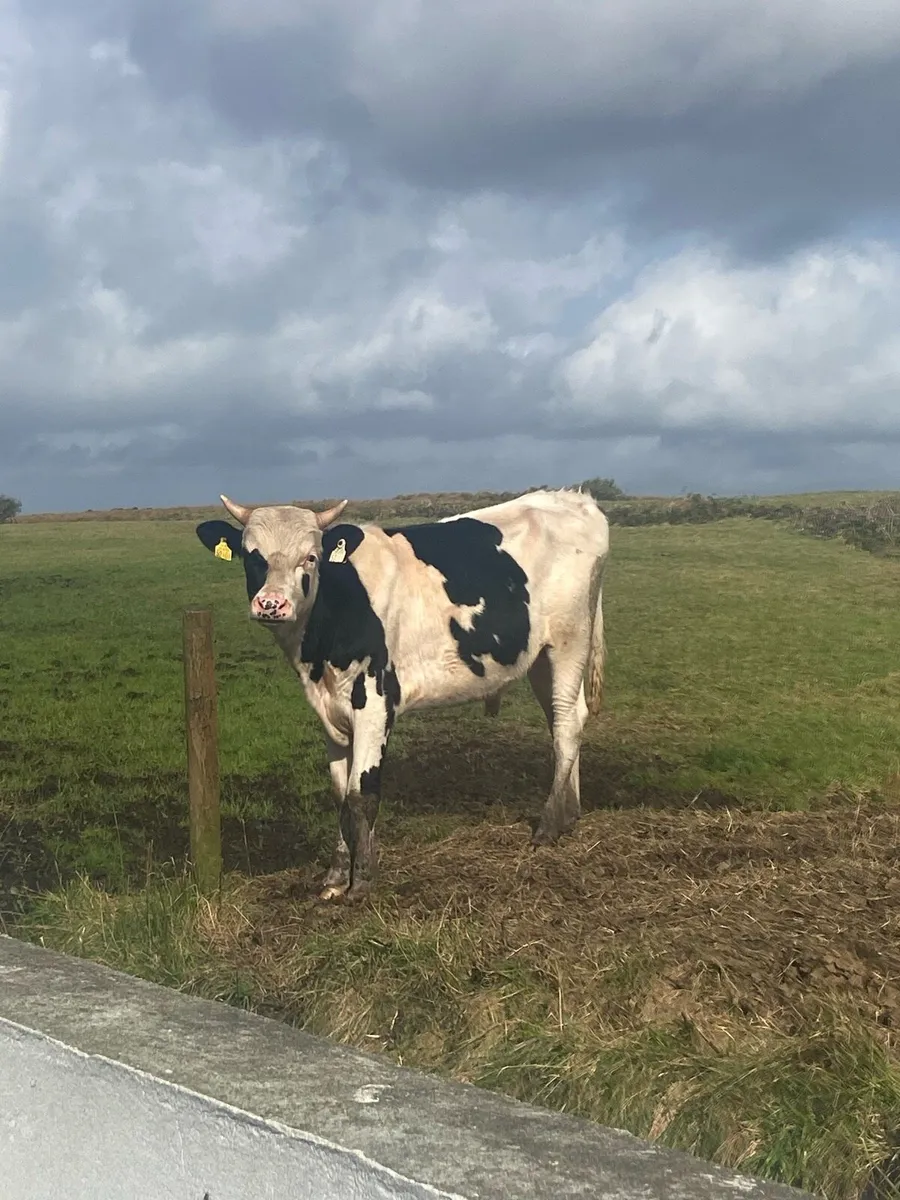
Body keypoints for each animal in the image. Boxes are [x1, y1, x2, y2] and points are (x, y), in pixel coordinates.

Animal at [196, 489, 609, 901]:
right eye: (252, 554)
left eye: (310, 557)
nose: (271, 605)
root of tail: (574, 498)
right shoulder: (331, 712)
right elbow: (340, 795)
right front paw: (335, 877)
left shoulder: (375, 702)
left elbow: (361, 794)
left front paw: (361, 881)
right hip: (538, 656)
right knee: (561, 721)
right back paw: (569, 814)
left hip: (568, 642)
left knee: (568, 724)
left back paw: (548, 826)